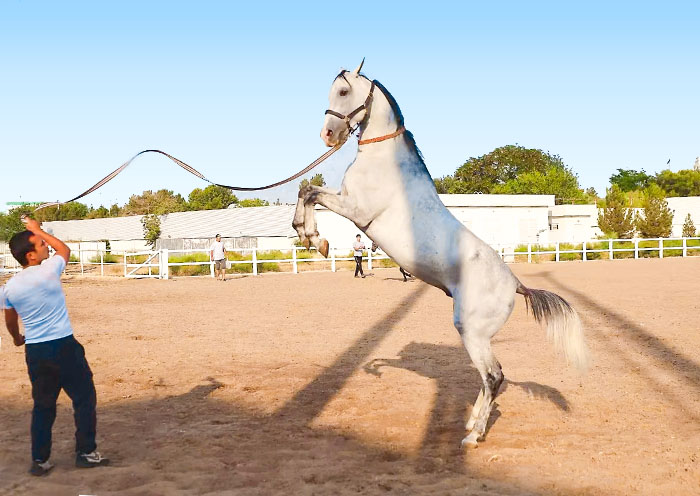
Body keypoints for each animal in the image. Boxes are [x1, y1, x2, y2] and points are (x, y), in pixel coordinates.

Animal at [292, 61, 589, 447]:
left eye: (343, 92)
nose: (328, 135)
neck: (383, 161)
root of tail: (516, 284)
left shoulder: (357, 210)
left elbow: (310, 192)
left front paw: (314, 238)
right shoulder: (345, 201)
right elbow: (306, 190)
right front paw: (306, 234)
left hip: (471, 330)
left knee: (494, 376)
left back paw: (474, 436)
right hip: (477, 335)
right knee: (488, 378)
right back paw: (471, 422)